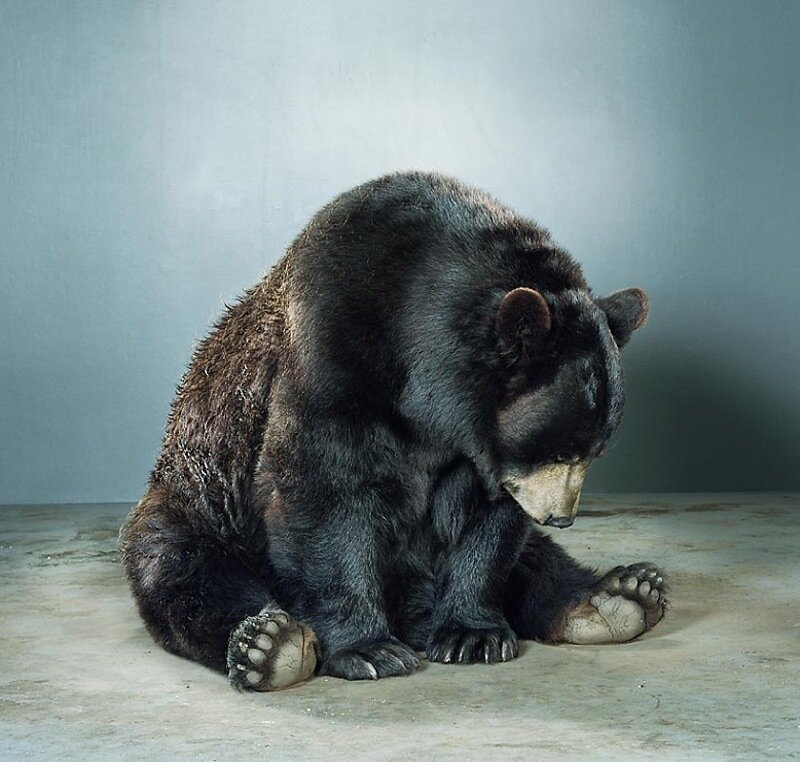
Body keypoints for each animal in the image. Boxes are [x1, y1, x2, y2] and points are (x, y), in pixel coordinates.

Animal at [119, 171, 665, 692]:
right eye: (560, 451)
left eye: (594, 451)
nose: (562, 516)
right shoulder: (333, 359)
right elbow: (322, 491)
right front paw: (369, 649)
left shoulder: (477, 447)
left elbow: (490, 520)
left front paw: (473, 634)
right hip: (200, 501)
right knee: (184, 565)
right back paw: (269, 644)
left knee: (536, 558)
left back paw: (620, 598)